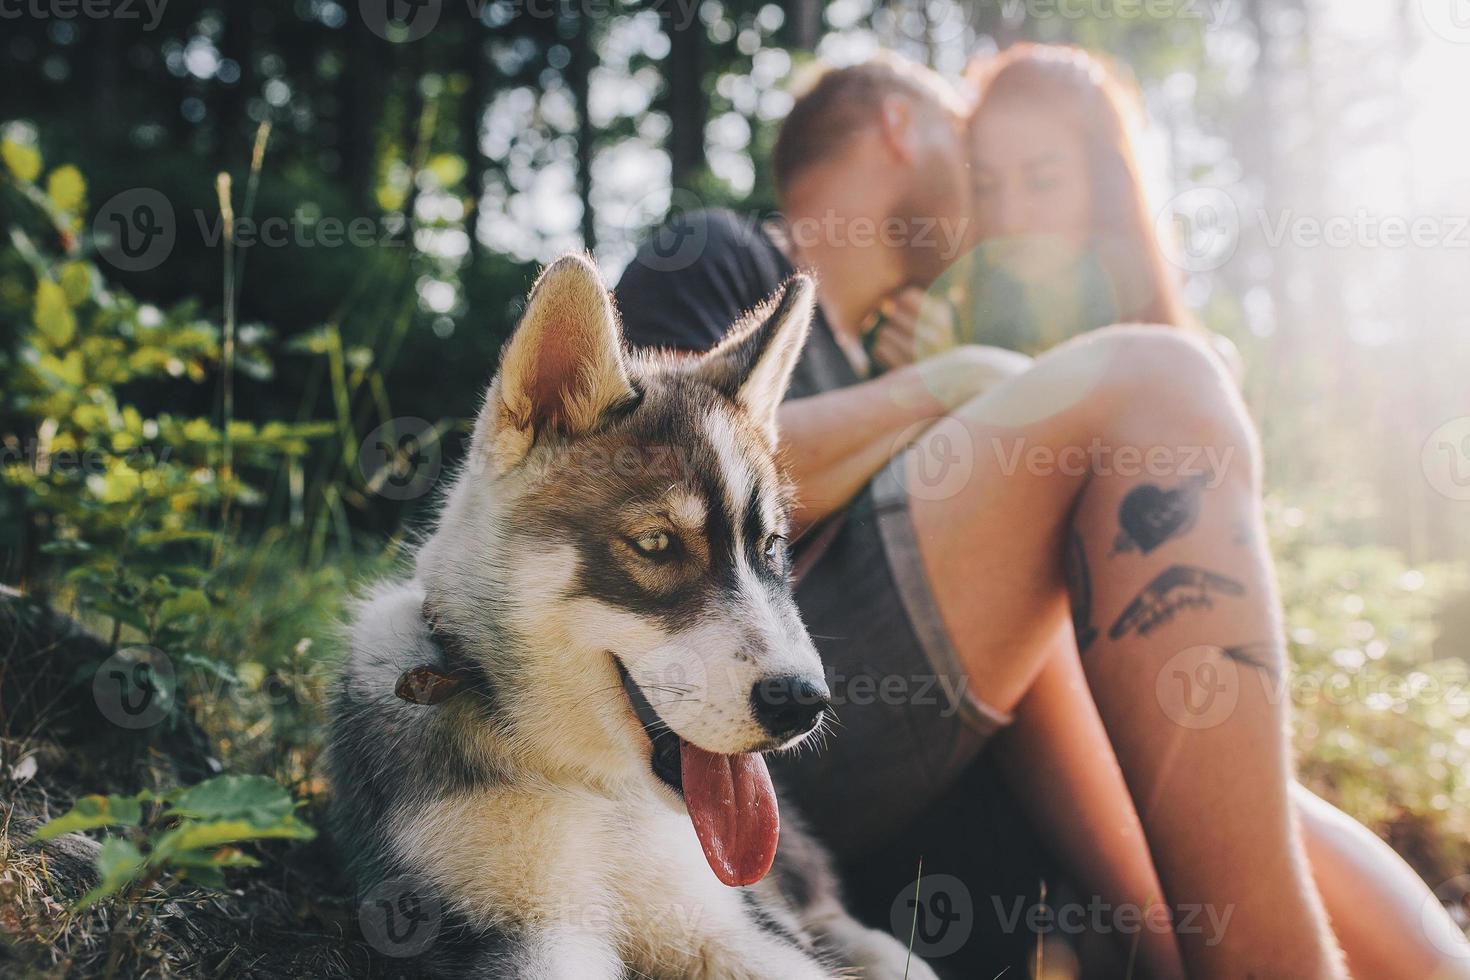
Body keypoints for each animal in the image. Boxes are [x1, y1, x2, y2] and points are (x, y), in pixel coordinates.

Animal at [326, 257, 934, 975]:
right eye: (656, 544)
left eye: (770, 546)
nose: (803, 702)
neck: (597, 789)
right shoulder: (519, 929)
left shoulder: (725, 922)